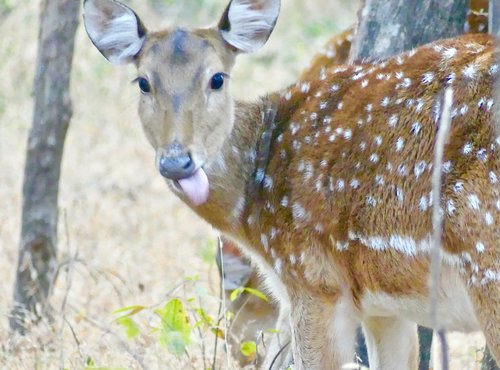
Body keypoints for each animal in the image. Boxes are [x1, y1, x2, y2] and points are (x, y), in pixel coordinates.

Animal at [84, 0, 498, 370]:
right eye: (143, 82)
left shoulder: (313, 279)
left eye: (217, 78)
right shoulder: (383, 305)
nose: (176, 161)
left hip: (485, 257)